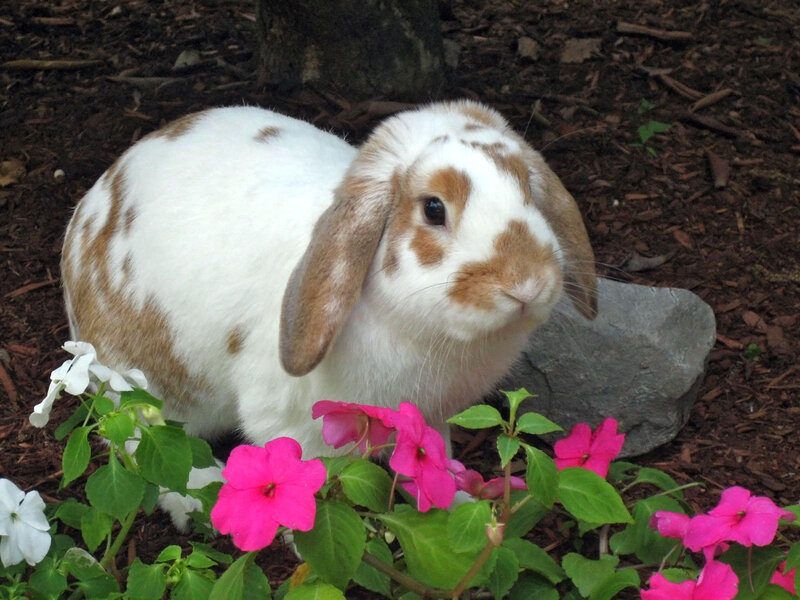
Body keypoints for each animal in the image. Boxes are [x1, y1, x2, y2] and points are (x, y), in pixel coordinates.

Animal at [61, 100, 597, 522]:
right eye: (433, 208)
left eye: (528, 188)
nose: (526, 284)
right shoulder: (291, 424)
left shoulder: (428, 419)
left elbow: (431, 464)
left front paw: (461, 509)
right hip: (139, 386)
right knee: (140, 441)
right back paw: (195, 497)